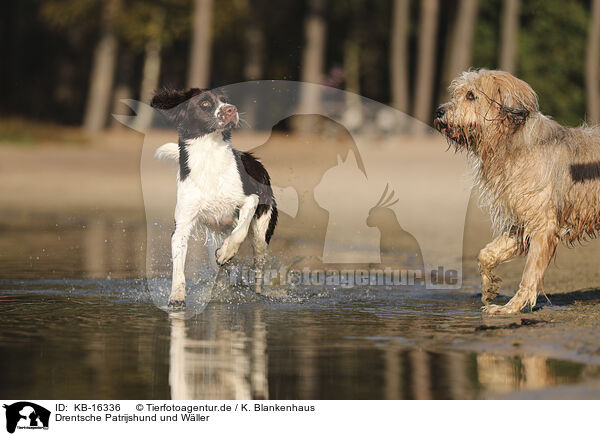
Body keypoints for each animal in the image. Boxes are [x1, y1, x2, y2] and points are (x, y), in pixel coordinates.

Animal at [152, 87, 278, 306]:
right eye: (204, 103)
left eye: (225, 99)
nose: (231, 109)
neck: (210, 156)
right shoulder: (182, 224)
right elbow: (178, 267)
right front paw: (176, 296)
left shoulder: (250, 198)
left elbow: (239, 232)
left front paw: (227, 251)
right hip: (213, 238)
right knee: (218, 269)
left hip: (261, 236)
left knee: (258, 267)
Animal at [434, 69, 600, 314]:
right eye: (456, 93)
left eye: (471, 95)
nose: (439, 111)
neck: (511, 143)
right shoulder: (520, 220)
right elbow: (485, 253)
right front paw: (490, 285)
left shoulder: (543, 224)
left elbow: (529, 273)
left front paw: (510, 307)